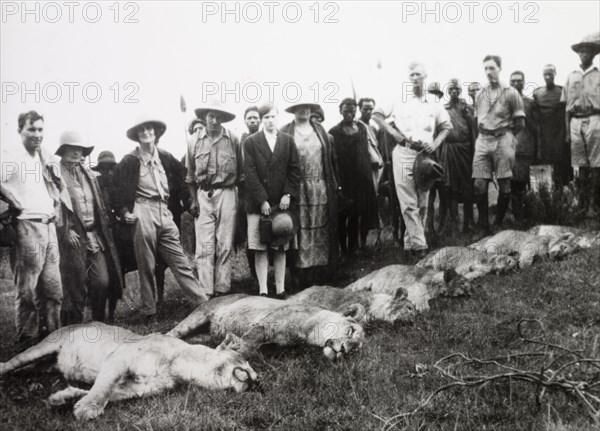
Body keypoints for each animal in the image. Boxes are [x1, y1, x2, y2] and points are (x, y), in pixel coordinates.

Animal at [0, 324, 258, 422]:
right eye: (245, 361)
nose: (258, 381)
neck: (179, 365)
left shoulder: (136, 388)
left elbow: (104, 393)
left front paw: (63, 399)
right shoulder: (119, 358)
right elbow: (102, 388)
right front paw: (88, 408)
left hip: (44, 363)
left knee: (30, 369)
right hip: (43, 347)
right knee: (12, 363)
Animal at [168, 296, 366, 362]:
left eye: (355, 352)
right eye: (351, 331)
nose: (345, 351)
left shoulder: (274, 349)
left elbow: (253, 350)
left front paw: (230, 346)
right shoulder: (263, 326)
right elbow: (247, 345)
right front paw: (230, 352)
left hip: (203, 336)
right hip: (197, 317)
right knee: (171, 333)